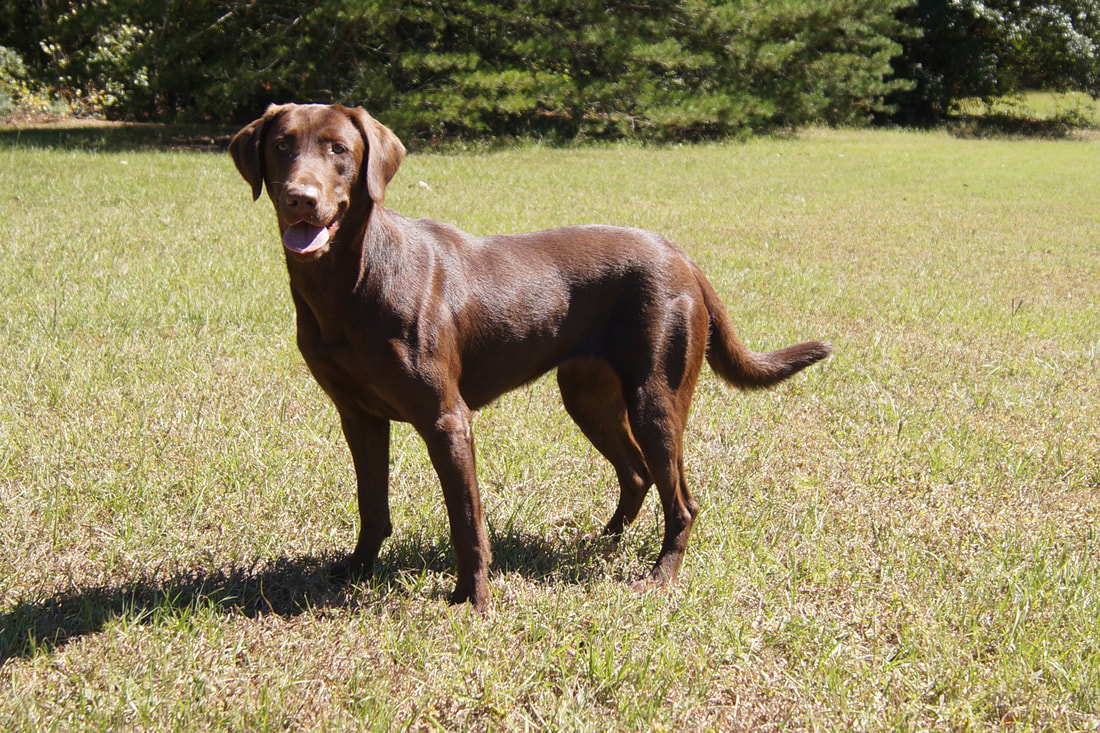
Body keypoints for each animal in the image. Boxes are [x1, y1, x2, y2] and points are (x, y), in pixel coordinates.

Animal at [232, 101, 827, 603]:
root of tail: (682, 256)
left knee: (680, 499)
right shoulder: (357, 415)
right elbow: (371, 505)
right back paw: (600, 542)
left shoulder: (446, 418)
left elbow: (466, 519)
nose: (300, 198)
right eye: (282, 145)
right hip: (588, 396)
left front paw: (472, 599)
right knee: (637, 474)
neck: (348, 283)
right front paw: (356, 572)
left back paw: (660, 575)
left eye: (339, 149)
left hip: (656, 396)